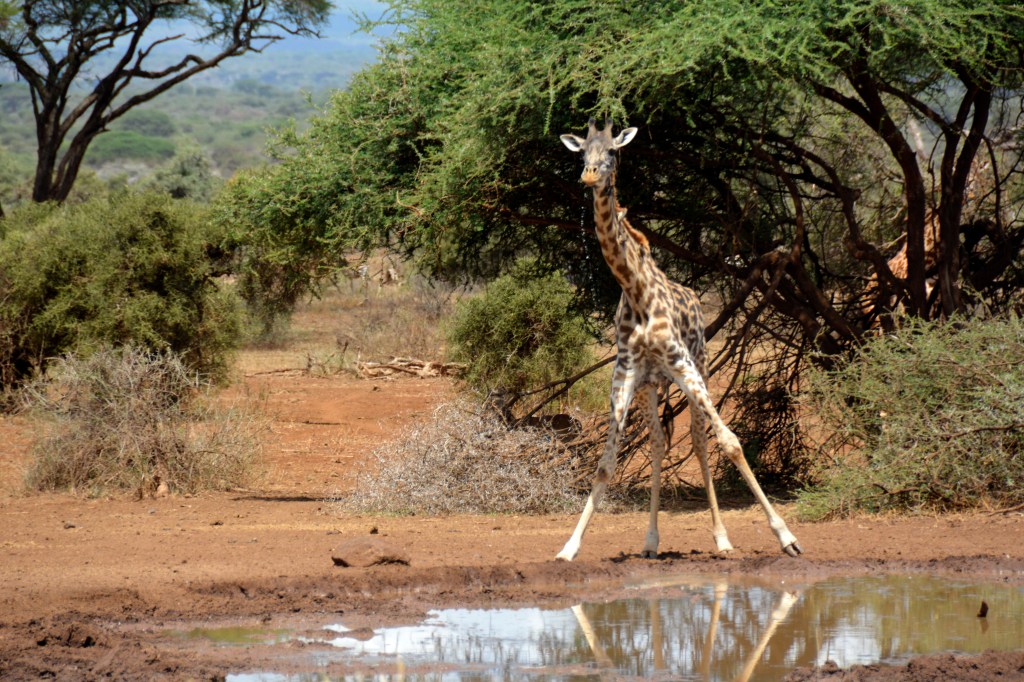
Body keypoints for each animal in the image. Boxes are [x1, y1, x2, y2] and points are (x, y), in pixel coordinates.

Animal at [556, 119, 802, 561]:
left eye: (613, 151)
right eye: (582, 153)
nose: (590, 176)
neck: (634, 288)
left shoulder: (682, 363)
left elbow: (729, 441)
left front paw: (786, 536)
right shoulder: (625, 376)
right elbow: (605, 463)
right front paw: (569, 547)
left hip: (698, 366)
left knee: (702, 441)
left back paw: (722, 539)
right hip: (653, 386)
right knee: (657, 443)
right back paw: (651, 541)